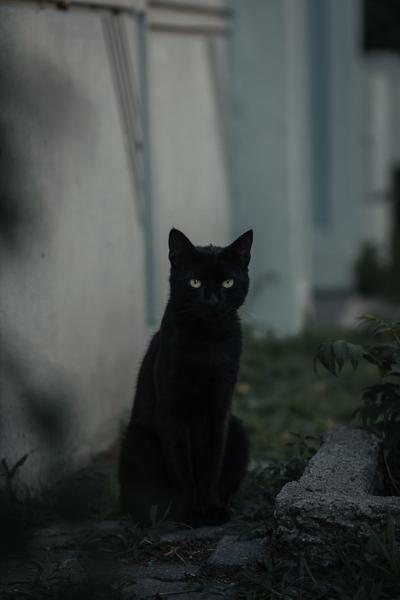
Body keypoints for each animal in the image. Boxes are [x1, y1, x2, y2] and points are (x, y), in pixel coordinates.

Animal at [118, 227, 253, 528]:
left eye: (228, 282)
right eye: (194, 282)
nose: (212, 301)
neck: (207, 345)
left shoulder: (218, 412)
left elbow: (210, 465)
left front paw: (211, 510)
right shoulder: (172, 412)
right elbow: (182, 468)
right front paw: (190, 513)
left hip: (238, 429)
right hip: (137, 441)